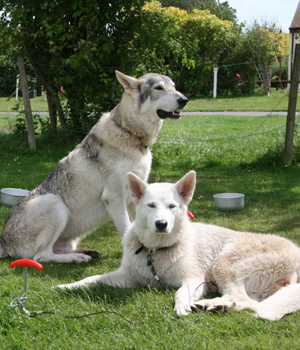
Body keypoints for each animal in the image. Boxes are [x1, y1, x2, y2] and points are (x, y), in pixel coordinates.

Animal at [0, 70, 188, 262]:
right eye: (158, 88)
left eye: (173, 86)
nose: (184, 100)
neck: (130, 134)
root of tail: (4, 243)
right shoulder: (114, 197)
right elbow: (127, 229)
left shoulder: (136, 199)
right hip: (56, 204)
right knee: (42, 256)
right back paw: (76, 259)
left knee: (58, 250)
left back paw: (85, 252)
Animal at [55, 171, 300, 322]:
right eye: (151, 206)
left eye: (172, 206)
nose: (161, 224)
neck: (155, 252)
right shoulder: (127, 277)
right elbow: (91, 279)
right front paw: (67, 286)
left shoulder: (193, 280)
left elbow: (180, 292)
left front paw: (182, 306)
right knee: (249, 302)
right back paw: (217, 306)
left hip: (224, 263)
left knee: (242, 298)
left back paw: (210, 304)